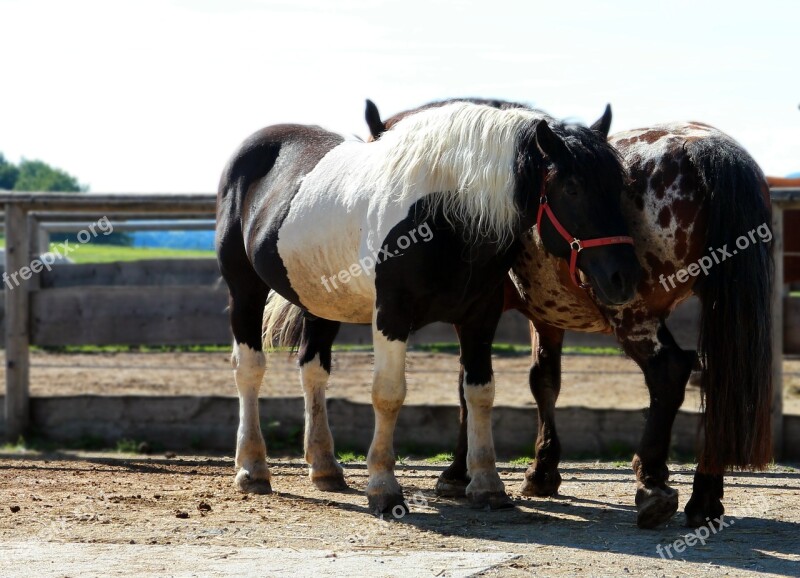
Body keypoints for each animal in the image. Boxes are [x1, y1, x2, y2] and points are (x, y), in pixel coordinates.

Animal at [219, 101, 644, 510]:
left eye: (621, 187)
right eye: (572, 188)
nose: (625, 277)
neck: (444, 213)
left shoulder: (480, 317)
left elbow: (480, 393)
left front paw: (487, 485)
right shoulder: (391, 314)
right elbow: (388, 394)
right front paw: (383, 487)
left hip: (320, 302)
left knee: (313, 369)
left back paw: (325, 467)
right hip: (245, 289)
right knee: (250, 368)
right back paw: (253, 469)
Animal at [368, 100, 776, 528]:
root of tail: (703, 146)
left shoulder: (479, 312)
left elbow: (469, 385)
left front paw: (457, 472)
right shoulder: (546, 315)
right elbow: (543, 381)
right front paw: (543, 469)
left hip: (633, 314)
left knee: (670, 371)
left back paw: (652, 483)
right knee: (718, 380)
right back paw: (705, 498)